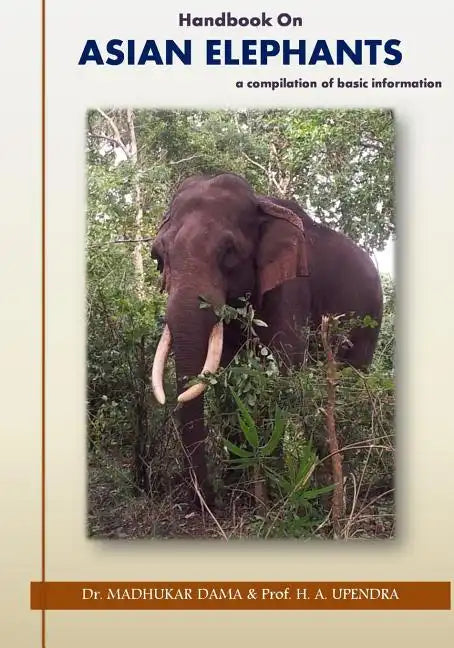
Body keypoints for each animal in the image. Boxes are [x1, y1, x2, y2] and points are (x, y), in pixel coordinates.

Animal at [150, 172, 383, 505]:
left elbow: (282, 366)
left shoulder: (292, 287)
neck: (261, 203)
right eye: (157, 256)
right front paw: (238, 488)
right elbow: (227, 374)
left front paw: (273, 490)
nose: (208, 501)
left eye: (229, 252)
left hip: (369, 319)